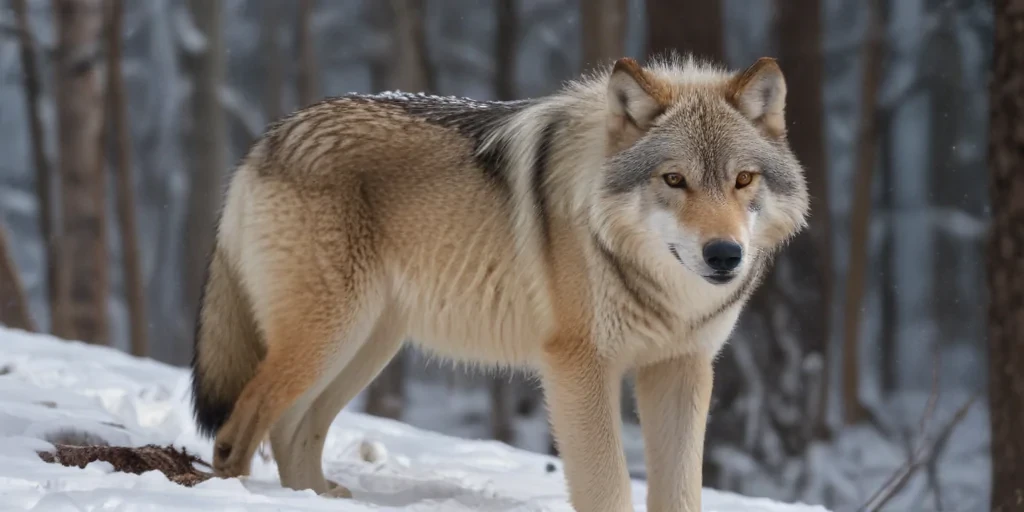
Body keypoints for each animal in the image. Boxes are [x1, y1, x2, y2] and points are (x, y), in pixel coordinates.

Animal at [189, 52, 810, 511]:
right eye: (674, 180)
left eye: (743, 179)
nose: (725, 255)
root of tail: (269, 138)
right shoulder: (579, 367)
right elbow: (608, 487)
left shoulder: (681, 368)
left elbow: (681, 493)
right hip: (328, 338)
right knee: (242, 425)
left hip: (366, 347)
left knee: (293, 431)